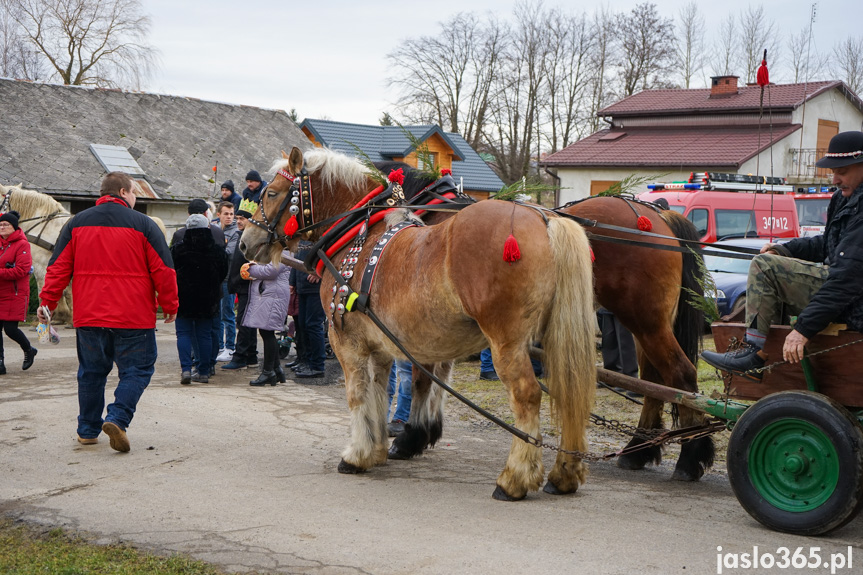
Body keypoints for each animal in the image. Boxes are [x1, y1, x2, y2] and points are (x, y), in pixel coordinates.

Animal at [240, 147, 596, 500]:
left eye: (271, 193)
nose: (245, 242)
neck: (359, 235)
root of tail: (546, 218)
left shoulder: (346, 340)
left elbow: (358, 394)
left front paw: (357, 455)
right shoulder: (383, 344)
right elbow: (380, 391)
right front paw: (378, 448)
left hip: (507, 341)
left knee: (527, 395)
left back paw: (514, 479)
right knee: (570, 395)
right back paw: (564, 474)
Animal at [556, 198, 712, 482]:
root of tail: (661, 216)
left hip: (646, 322)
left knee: (680, 375)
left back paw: (689, 457)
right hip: (646, 328)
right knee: (653, 382)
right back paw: (638, 448)